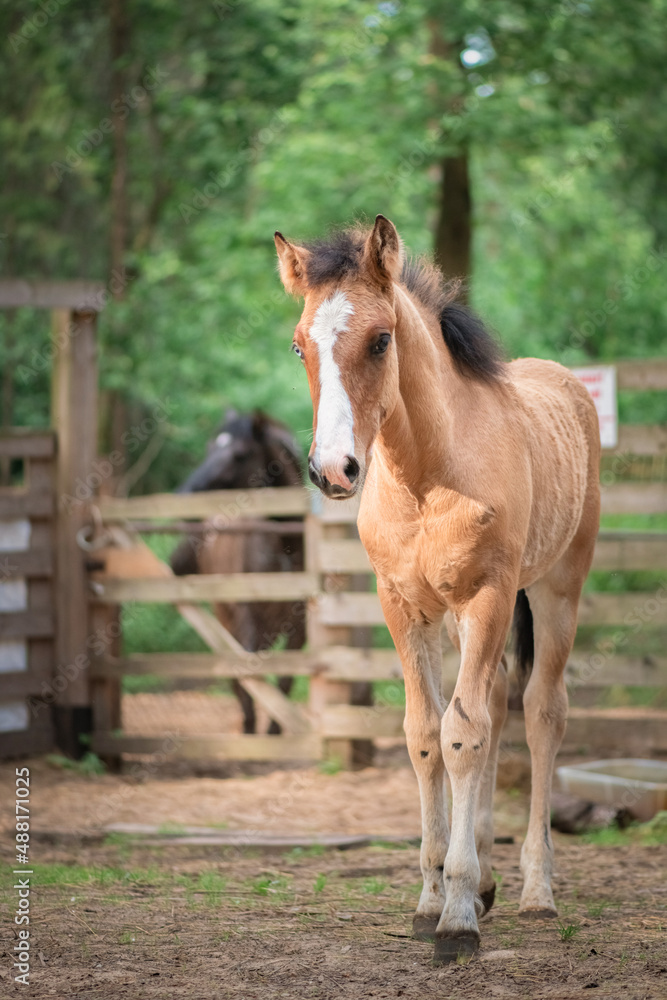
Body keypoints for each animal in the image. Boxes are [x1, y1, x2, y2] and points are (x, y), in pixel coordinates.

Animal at [170, 410, 306, 735]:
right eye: (209, 448)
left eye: (240, 454)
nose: (183, 497)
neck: (287, 547)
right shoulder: (247, 619)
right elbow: (248, 676)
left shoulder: (300, 627)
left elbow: (285, 680)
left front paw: (275, 731)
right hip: (226, 617)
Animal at [274, 215, 600, 963]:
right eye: (300, 344)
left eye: (380, 338)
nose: (333, 470)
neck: (424, 475)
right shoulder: (405, 607)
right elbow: (427, 733)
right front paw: (433, 899)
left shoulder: (487, 596)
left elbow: (462, 733)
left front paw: (455, 918)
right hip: (465, 618)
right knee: (496, 705)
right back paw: (485, 879)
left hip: (555, 589)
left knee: (540, 713)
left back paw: (535, 891)